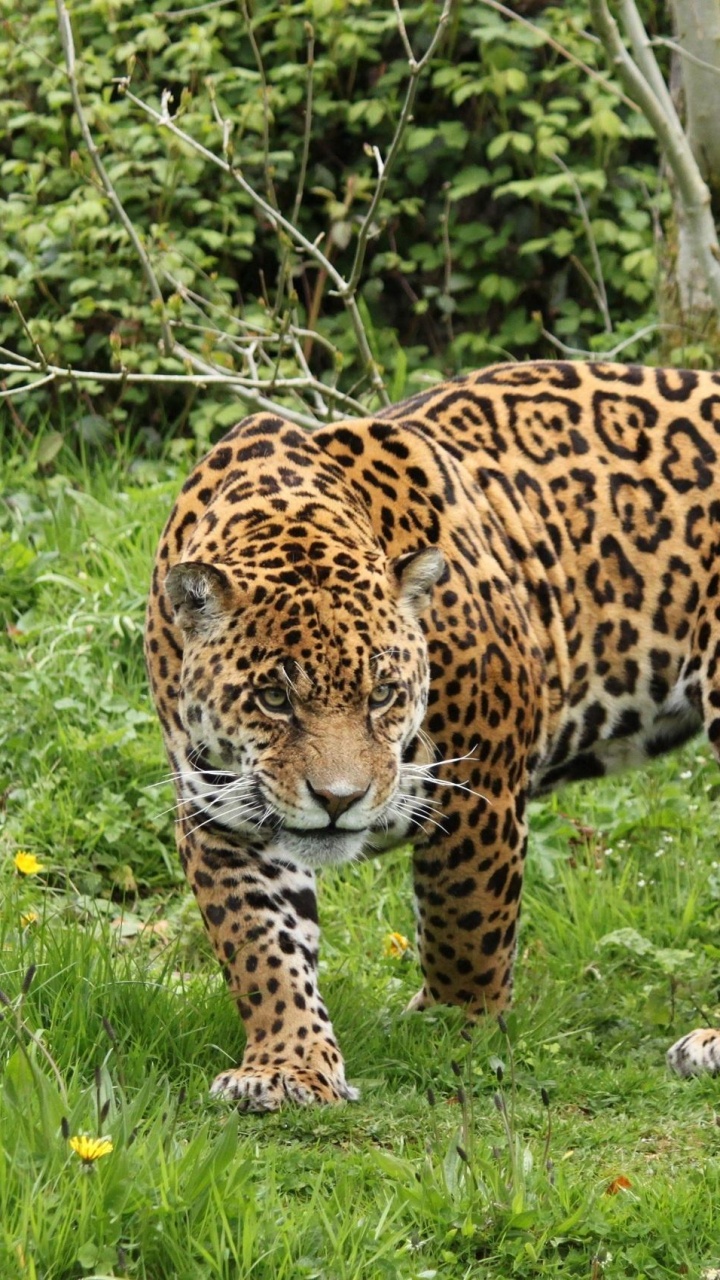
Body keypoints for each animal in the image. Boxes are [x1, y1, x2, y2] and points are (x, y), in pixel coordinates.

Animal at [145, 360, 720, 1111]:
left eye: (383, 695)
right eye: (274, 699)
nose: (338, 801)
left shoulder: (482, 786)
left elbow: (466, 923)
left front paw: (457, 1026)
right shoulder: (220, 815)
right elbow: (260, 949)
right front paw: (289, 1066)